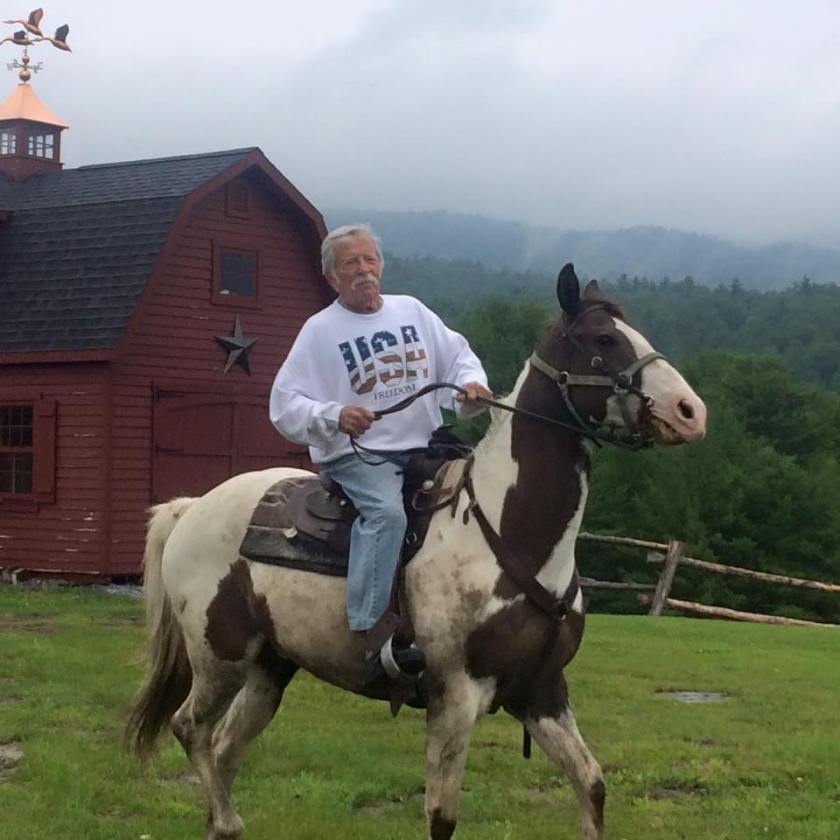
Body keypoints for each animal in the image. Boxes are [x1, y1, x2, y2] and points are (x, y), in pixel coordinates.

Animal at [126, 264, 707, 840]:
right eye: (603, 339)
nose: (690, 411)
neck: (505, 530)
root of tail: (191, 508)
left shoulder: (542, 691)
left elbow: (592, 785)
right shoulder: (454, 699)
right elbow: (441, 816)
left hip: (271, 668)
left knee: (225, 749)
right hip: (218, 658)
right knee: (191, 729)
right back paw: (227, 821)